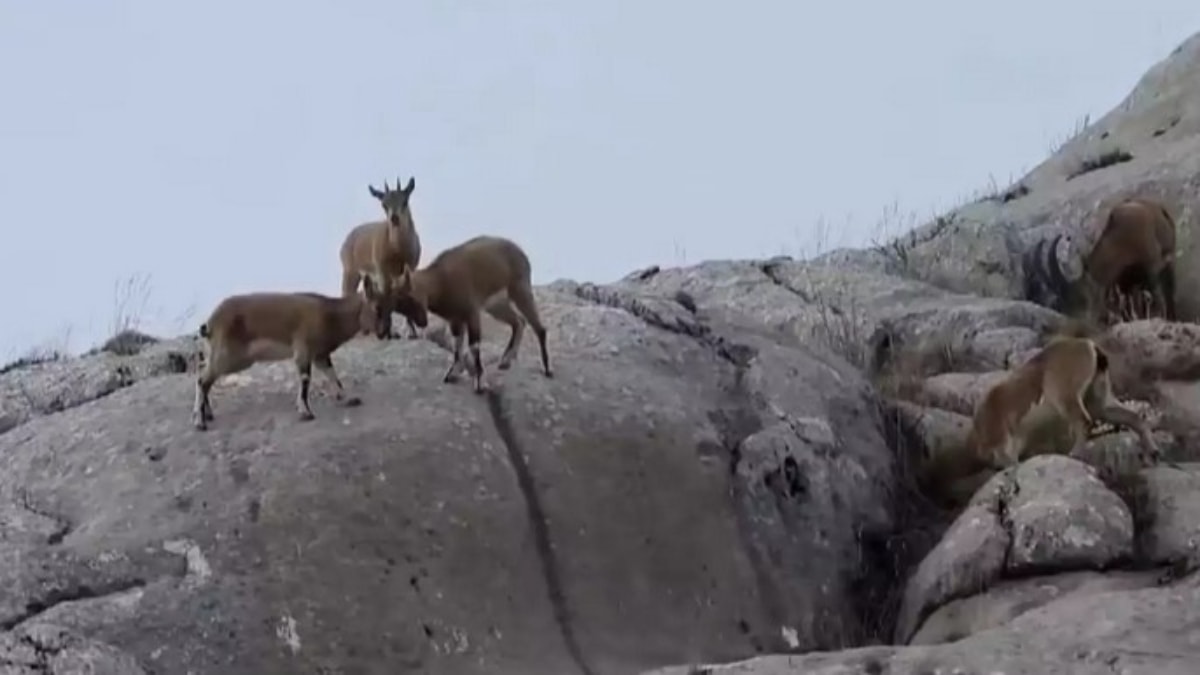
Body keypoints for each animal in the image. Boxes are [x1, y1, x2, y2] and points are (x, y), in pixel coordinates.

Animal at [192, 281, 392, 431]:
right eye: (377, 307)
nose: (383, 332)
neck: (330, 315)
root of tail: (210, 323)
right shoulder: (303, 350)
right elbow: (305, 379)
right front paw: (306, 412)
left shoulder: (319, 355)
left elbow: (332, 375)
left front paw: (348, 398)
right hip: (229, 356)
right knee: (203, 380)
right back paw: (199, 422)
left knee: (203, 374)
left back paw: (207, 413)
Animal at [339, 177, 423, 339]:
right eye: (384, 204)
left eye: (405, 201)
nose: (394, 219)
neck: (398, 251)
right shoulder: (383, 272)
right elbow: (385, 297)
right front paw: (390, 332)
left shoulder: (410, 268)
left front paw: (412, 333)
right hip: (351, 273)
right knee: (346, 293)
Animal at [388, 235, 553, 393]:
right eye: (399, 308)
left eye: (410, 297)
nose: (422, 322)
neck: (441, 281)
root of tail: (521, 253)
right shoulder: (455, 319)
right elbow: (457, 344)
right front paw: (452, 373)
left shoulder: (471, 313)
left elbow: (474, 345)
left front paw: (480, 383)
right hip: (496, 305)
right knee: (519, 321)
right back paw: (506, 361)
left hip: (519, 289)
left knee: (539, 328)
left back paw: (546, 369)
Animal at [1033, 197, 1178, 325]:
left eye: (1081, 298)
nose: (1085, 322)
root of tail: (1158, 207)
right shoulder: (1126, 284)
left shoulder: (1151, 269)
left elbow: (1157, 299)